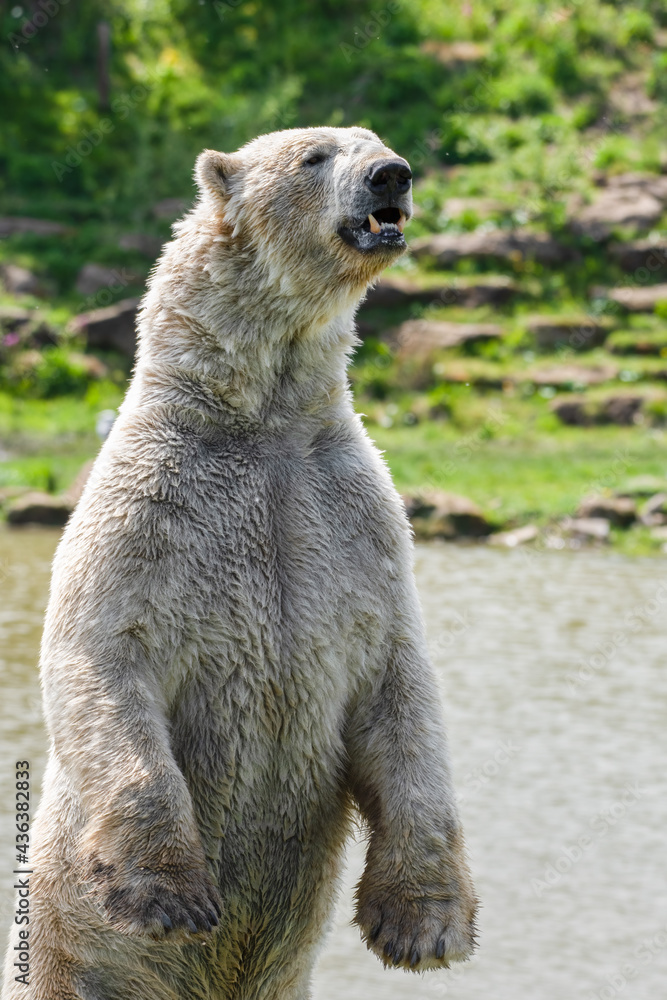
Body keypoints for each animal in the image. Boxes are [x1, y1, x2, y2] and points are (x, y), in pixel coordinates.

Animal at [2, 127, 477, 1000]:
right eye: (315, 156)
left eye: (375, 144)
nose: (390, 175)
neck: (260, 418)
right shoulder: (149, 509)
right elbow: (101, 656)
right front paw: (169, 895)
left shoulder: (355, 520)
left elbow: (400, 686)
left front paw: (424, 923)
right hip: (62, 957)